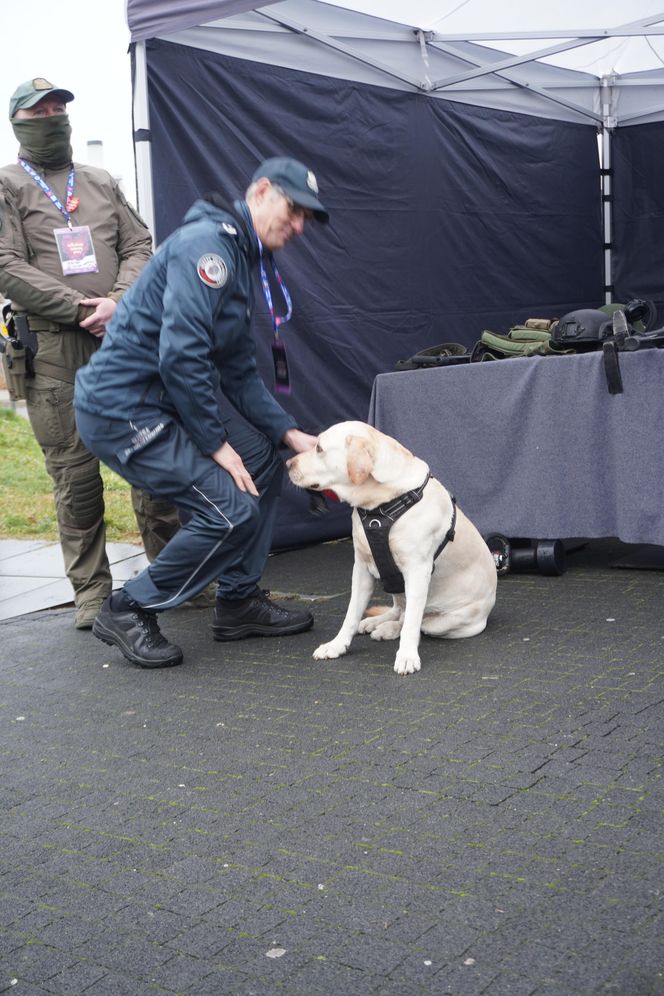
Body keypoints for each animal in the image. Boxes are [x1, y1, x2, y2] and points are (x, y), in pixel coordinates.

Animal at [288, 420, 496, 676]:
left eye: (319, 448)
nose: (288, 464)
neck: (379, 506)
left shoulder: (417, 571)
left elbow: (412, 624)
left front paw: (407, 656)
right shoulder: (361, 568)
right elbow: (351, 614)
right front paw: (337, 645)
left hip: (450, 621)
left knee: (416, 621)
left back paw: (387, 629)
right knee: (399, 611)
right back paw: (375, 622)